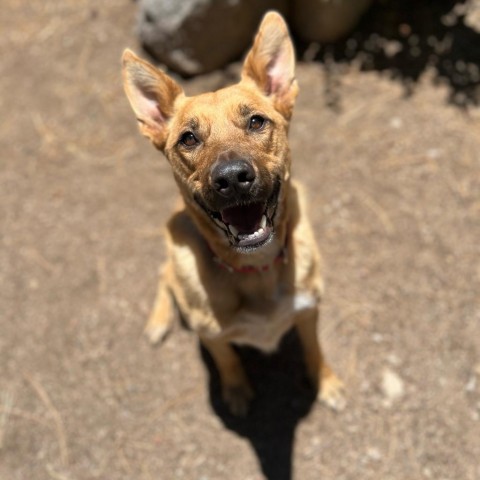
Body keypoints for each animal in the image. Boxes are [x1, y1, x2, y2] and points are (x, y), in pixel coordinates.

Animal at [122, 11, 344, 416]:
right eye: (188, 138)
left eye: (256, 121)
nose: (232, 179)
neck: (255, 269)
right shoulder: (211, 334)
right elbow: (227, 359)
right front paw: (237, 391)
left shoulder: (309, 312)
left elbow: (314, 349)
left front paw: (326, 381)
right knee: (164, 274)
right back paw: (158, 321)